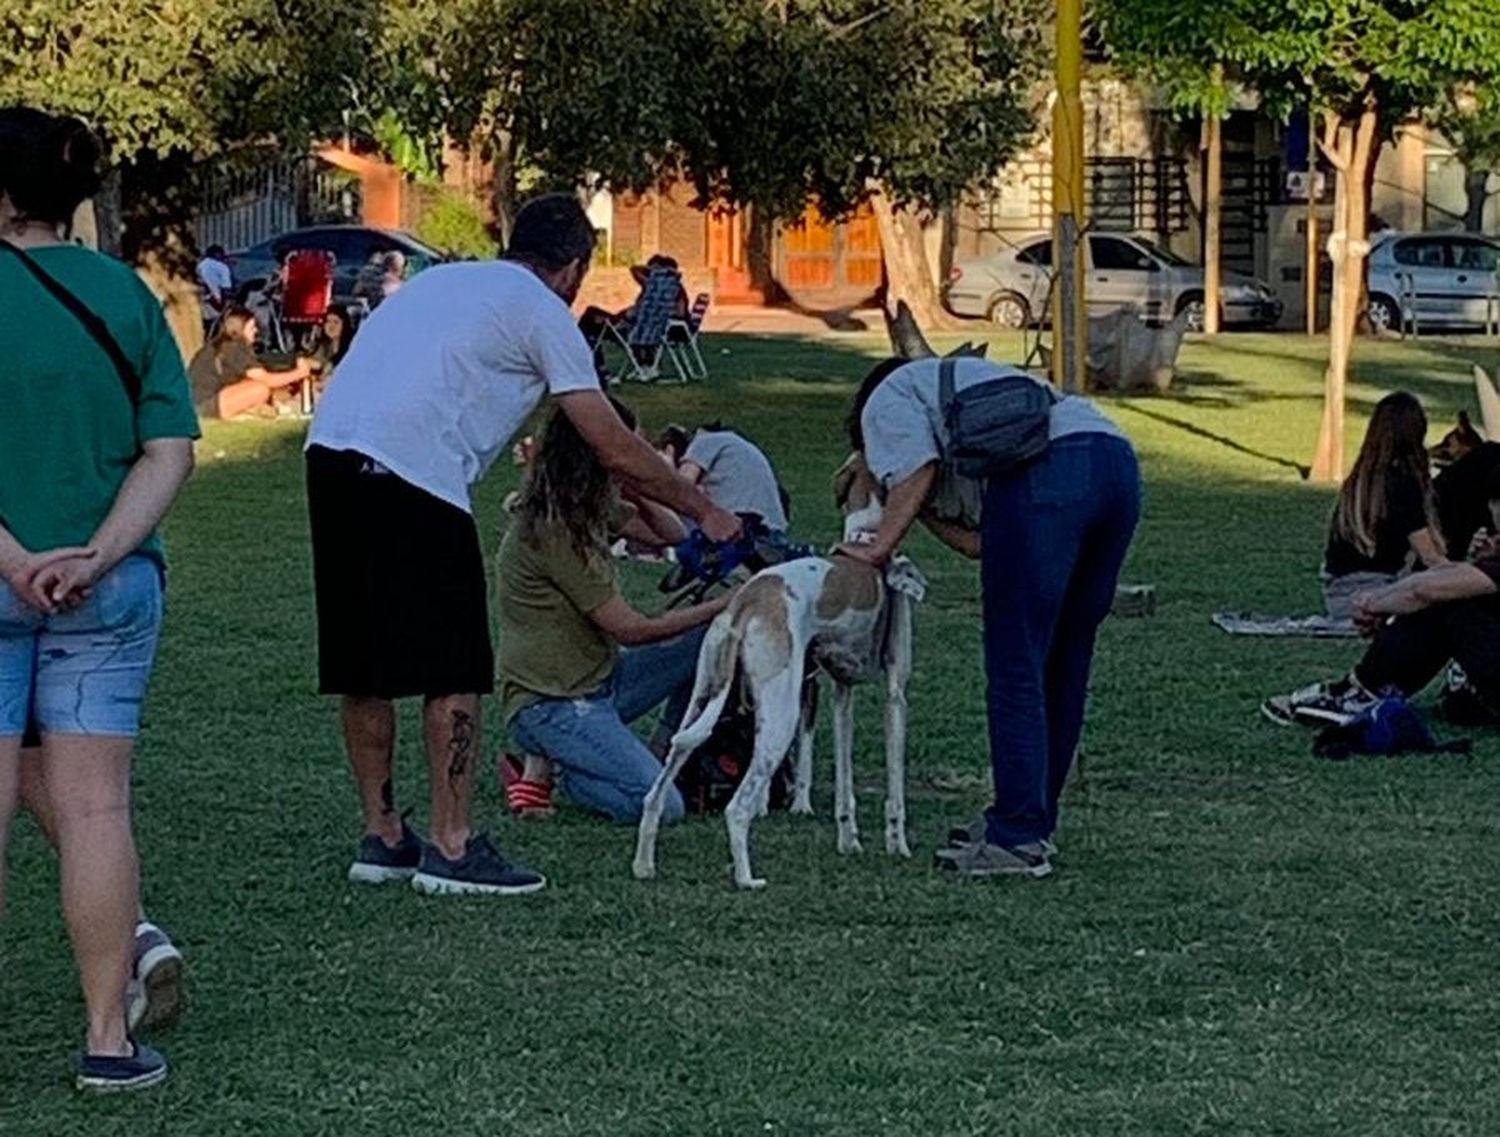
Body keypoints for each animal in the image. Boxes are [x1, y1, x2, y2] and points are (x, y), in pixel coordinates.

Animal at [627, 453, 918, 888]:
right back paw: (747, 879)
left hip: (702, 697)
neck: (866, 539)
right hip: (781, 713)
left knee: (656, 791)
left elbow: (845, 783)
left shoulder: (841, 694)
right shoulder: (895, 695)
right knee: (737, 809)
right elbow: (895, 789)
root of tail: (747, 600)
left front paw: (849, 841)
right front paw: (897, 845)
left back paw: (644, 864)